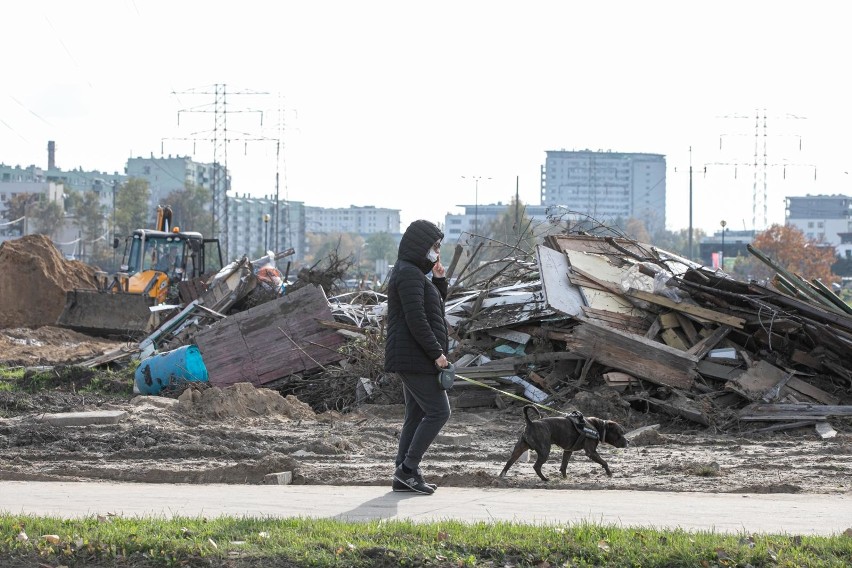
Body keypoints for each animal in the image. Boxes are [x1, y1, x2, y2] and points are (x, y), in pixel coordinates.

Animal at [496, 404, 628, 480]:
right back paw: (544, 479)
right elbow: (604, 462)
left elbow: (564, 465)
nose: (628, 441)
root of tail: (530, 423)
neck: (599, 427)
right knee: (536, 466)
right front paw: (609, 473)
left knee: (509, 462)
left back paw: (502, 476)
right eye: (620, 433)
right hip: (544, 451)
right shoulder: (591, 452)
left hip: (518, 450)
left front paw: (565, 478)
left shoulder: (568, 451)